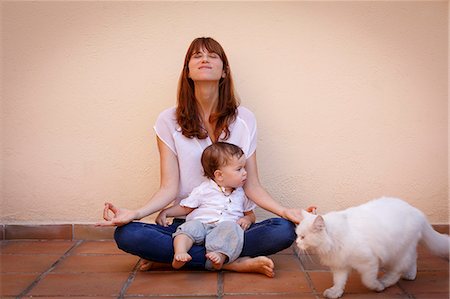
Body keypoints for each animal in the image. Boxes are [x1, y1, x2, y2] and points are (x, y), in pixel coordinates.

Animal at [298, 198, 448, 298]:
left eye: (303, 237)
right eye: (298, 235)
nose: (297, 242)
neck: (335, 239)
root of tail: (417, 211)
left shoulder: (369, 261)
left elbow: (368, 280)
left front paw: (377, 287)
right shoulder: (340, 265)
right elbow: (339, 281)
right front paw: (335, 292)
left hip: (398, 252)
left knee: (397, 271)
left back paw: (385, 282)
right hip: (404, 249)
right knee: (412, 259)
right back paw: (410, 275)